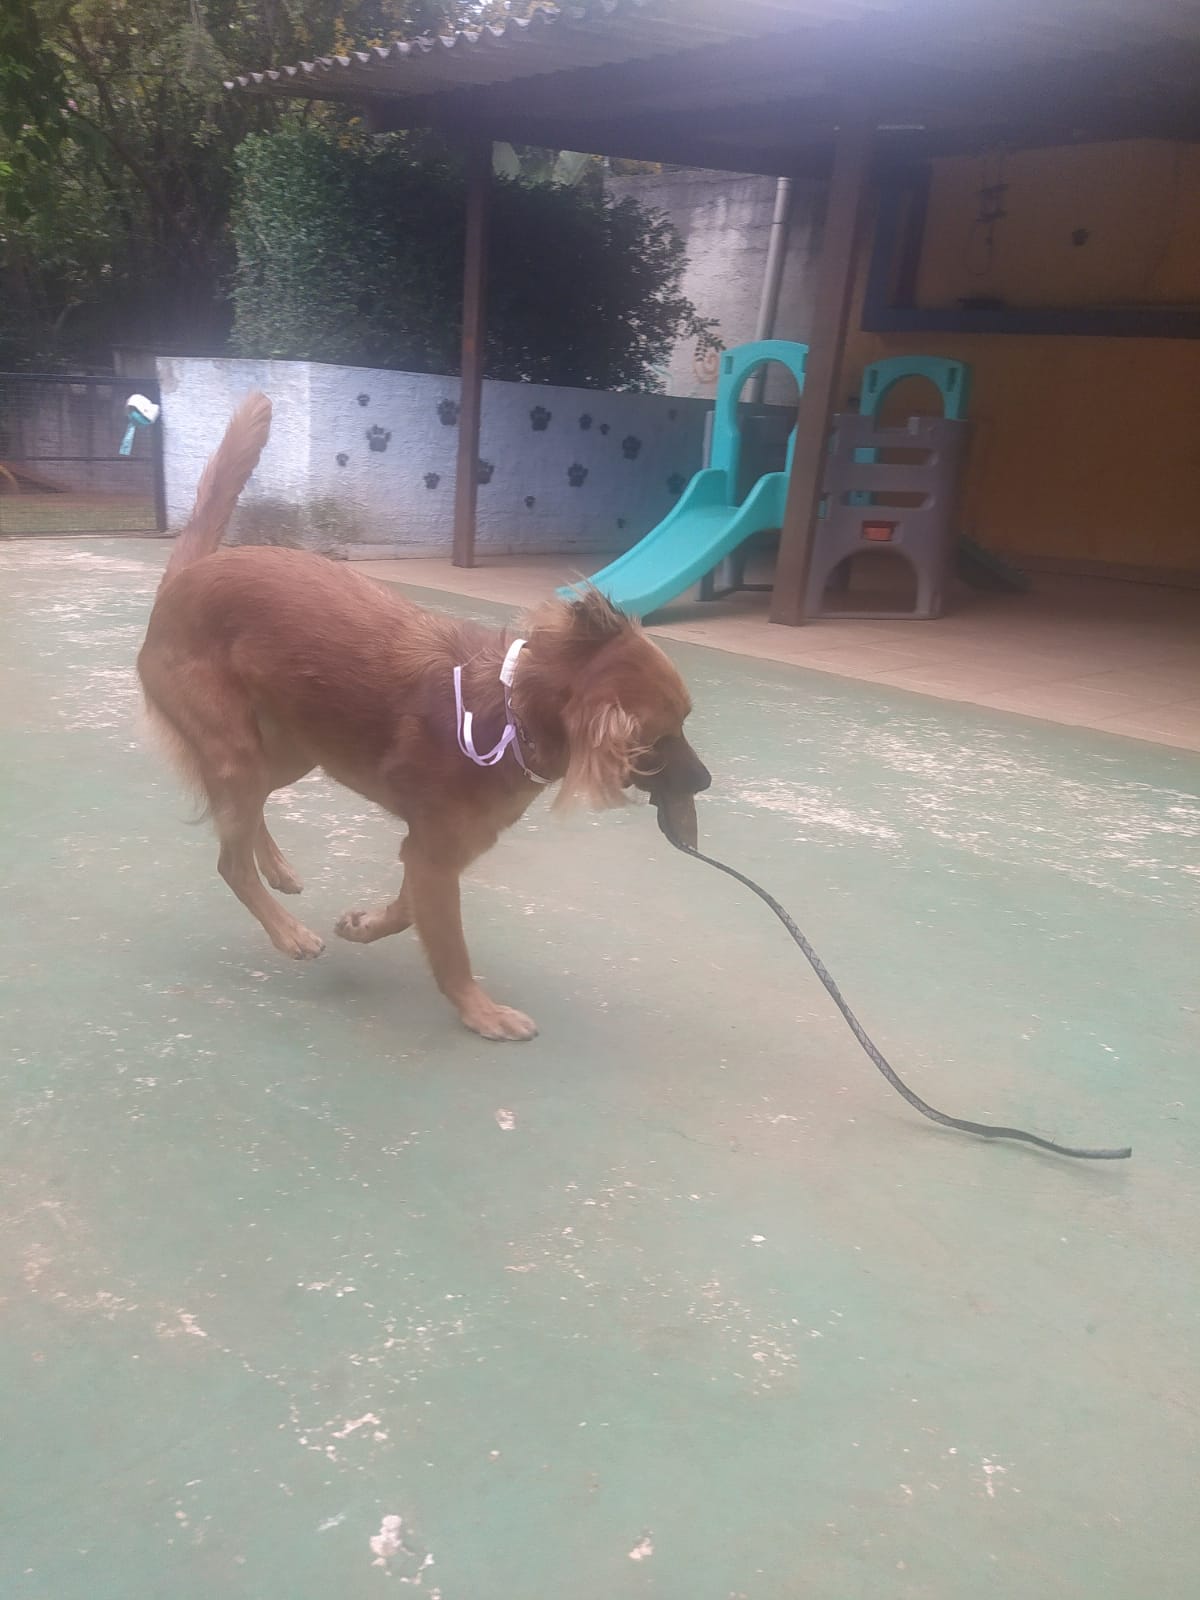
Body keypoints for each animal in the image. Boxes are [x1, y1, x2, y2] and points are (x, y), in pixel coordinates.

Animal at [138, 393, 711, 1040]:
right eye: (656, 742)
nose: (706, 782)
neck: (511, 712)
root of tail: (182, 581)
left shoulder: (439, 853)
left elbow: (409, 912)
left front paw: (364, 925)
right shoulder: (435, 855)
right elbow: (449, 945)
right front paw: (480, 1011)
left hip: (288, 752)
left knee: (247, 816)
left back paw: (277, 868)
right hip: (238, 753)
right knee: (229, 861)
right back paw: (287, 932)